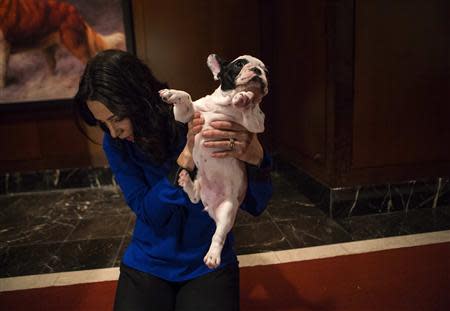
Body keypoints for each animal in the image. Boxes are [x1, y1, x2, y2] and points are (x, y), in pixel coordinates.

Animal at [160, 54, 268, 270]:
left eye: (266, 70)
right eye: (239, 64)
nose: (258, 71)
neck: (226, 104)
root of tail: (210, 207)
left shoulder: (256, 124)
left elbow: (251, 111)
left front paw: (245, 98)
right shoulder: (189, 115)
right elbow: (186, 96)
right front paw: (171, 93)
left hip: (228, 211)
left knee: (218, 236)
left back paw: (212, 256)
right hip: (201, 184)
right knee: (194, 198)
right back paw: (185, 180)